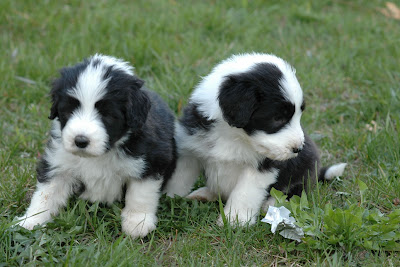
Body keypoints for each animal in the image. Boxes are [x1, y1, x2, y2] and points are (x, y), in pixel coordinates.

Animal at [16, 54, 177, 239]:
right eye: (69, 110)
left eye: (107, 114)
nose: (80, 140)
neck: (100, 155)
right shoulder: (59, 161)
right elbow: (46, 193)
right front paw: (30, 221)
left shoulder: (152, 160)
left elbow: (140, 193)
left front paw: (137, 222)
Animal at [164, 53, 346, 227]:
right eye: (278, 118)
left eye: (299, 115)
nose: (298, 149)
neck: (233, 136)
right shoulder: (190, 149)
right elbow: (179, 178)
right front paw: (170, 198)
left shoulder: (262, 168)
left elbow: (244, 193)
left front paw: (235, 220)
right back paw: (203, 194)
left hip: (305, 170)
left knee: (298, 193)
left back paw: (272, 203)